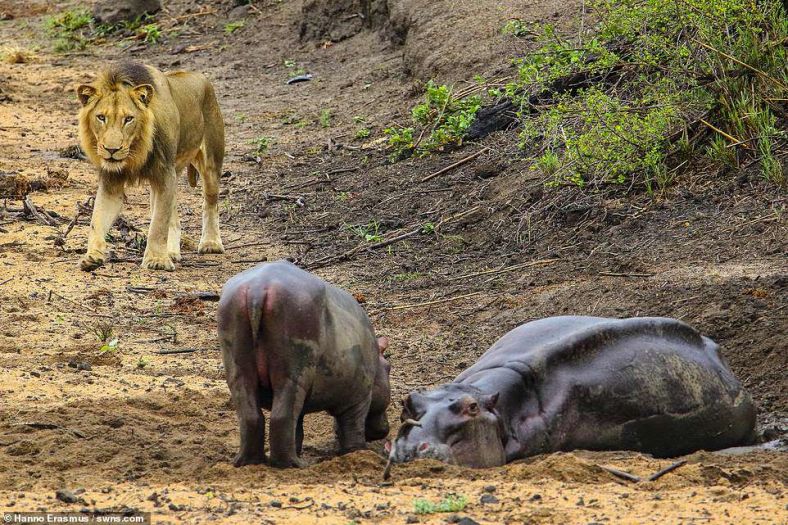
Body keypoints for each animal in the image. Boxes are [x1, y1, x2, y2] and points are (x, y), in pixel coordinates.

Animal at [76, 62, 225, 270]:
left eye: (128, 119)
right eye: (101, 117)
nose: (111, 150)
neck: (136, 150)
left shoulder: (164, 174)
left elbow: (158, 224)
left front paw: (157, 260)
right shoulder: (112, 181)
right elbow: (96, 219)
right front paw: (92, 256)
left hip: (211, 162)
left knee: (210, 202)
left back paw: (211, 243)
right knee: (174, 216)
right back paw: (172, 252)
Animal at [219, 260, 390, 468]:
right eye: (389, 367)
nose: (384, 430)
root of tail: (258, 287)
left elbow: (298, 429)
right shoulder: (359, 396)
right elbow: (353, 427)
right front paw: (357, 453)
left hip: (238, 364)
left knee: (251, 415)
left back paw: (249, 462)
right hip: (294, 368)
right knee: (282, 417)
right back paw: (295, 464)